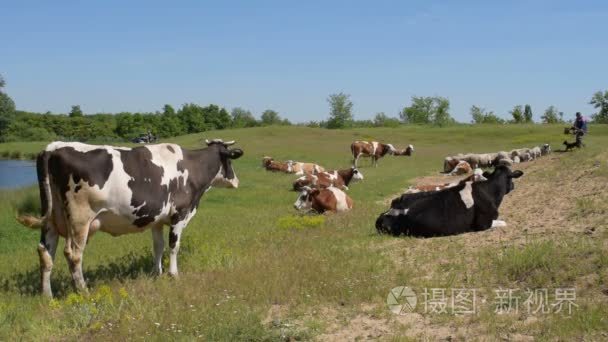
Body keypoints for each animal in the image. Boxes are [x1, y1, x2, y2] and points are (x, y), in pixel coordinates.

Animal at [17, 139, 243, 296]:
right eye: (230, 161)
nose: (236, 182)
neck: (192, 169)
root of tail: (53, 147)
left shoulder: (157, 219)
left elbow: (158, 246)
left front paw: (157, 273)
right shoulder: (179, 214)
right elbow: (173, 246)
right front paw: (173, 274)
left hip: (51, 219)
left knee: (45, 252)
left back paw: (47, 295)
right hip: (80, 219)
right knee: (73, 254)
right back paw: (83, 291)